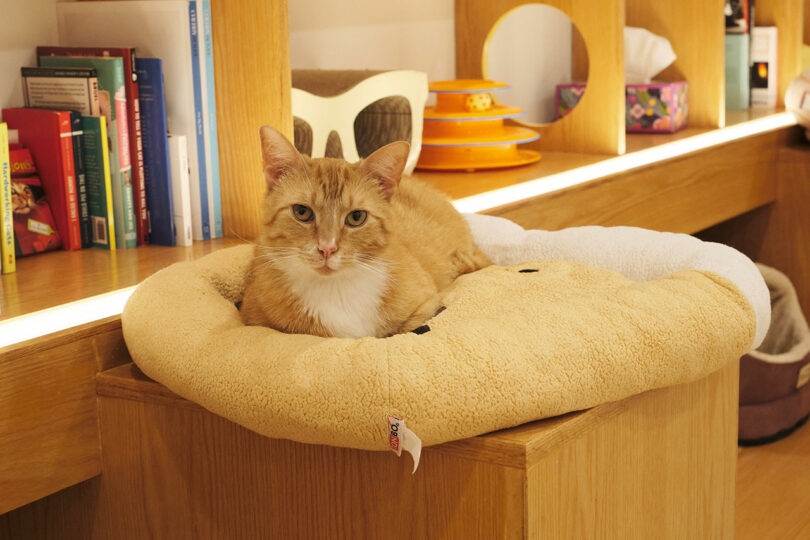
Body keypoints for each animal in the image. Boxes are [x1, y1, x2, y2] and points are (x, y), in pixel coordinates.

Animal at [240, 126, 490, 338]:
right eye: (302, 212)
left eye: (356, 217)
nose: (327, 248)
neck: (335, 290)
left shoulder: (426, 302)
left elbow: (406, 327)